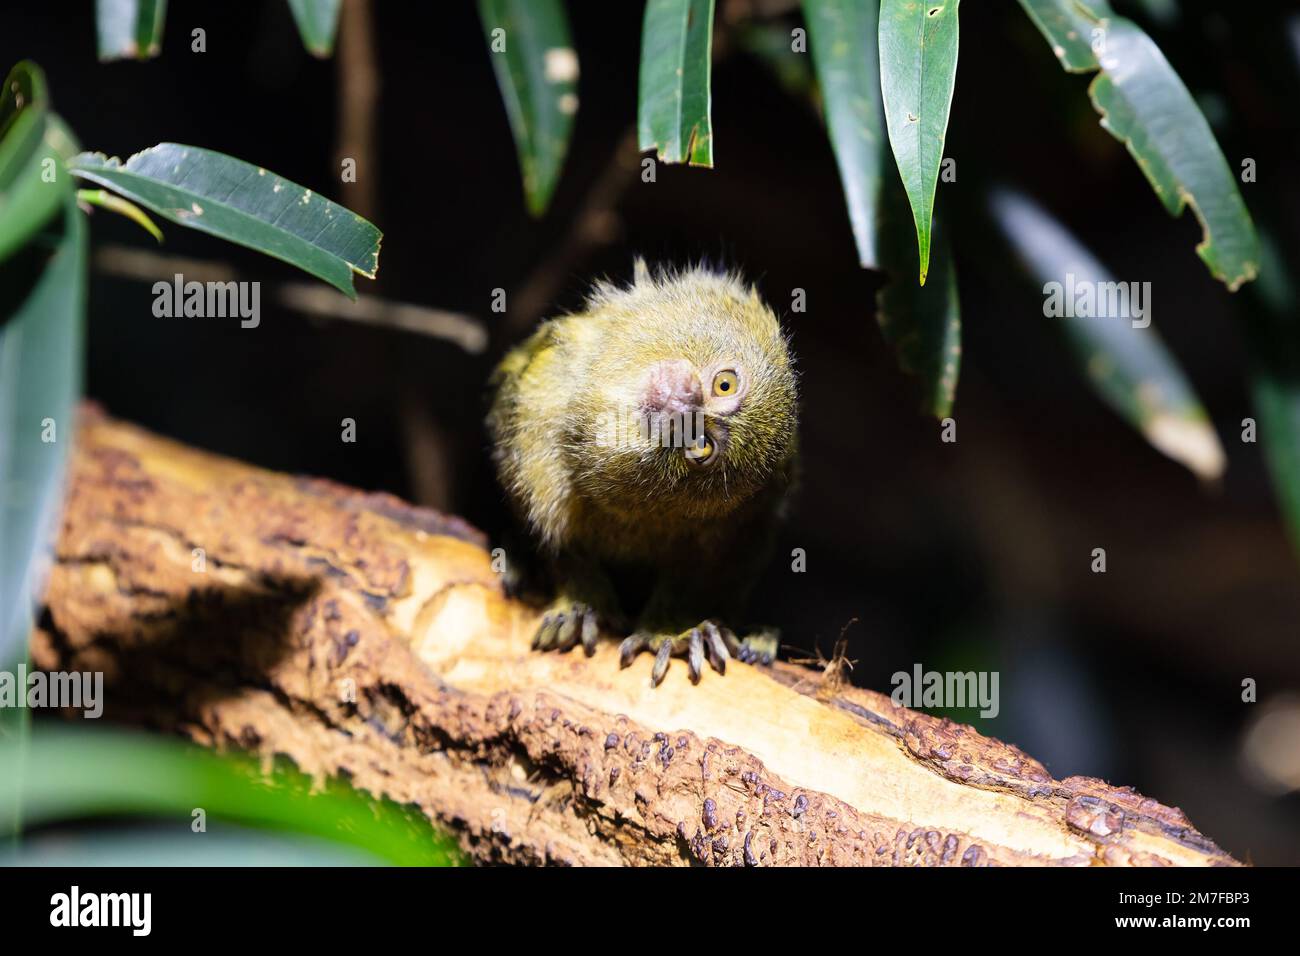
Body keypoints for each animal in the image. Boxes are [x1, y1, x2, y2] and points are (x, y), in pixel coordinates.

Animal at [487, 259, 798, 686]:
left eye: (701, 445)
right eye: (725, 384)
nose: (686, 405)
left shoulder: (739, 522)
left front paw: (670, 631)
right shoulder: (538, 399)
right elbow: (560, 542)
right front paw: (580, 603)